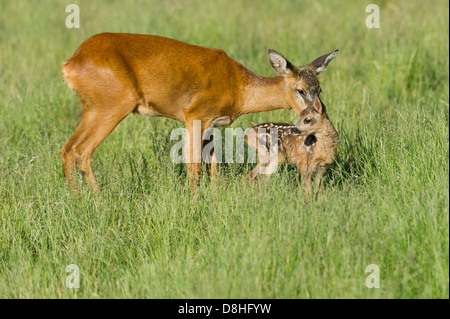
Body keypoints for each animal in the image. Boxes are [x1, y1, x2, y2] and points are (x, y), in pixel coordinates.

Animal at [61, 33, 340, 192]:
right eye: (299, 89)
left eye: (319, 88)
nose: (316, 115)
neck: (239, 87)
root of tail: (71, 63)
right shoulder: (193, 115)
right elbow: (194, 165)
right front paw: (193, 203)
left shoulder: (213, 124)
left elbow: (213, 165)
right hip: (112, 107)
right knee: (82, 151)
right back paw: (98, 201)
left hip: (92, 108)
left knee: (67, 148)